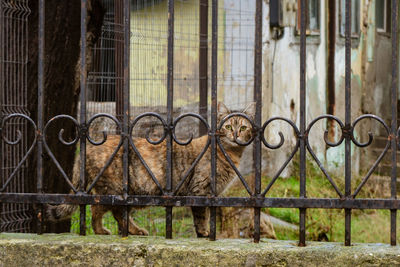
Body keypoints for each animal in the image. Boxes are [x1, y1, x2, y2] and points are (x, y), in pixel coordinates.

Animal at [45, 102, 255, 239]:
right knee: (110, 210)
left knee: (103, 210)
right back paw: (123, 230)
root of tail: (88, 147)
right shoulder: (200, 190)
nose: (235, 135)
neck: (230, 153)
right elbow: (202, 216)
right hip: (115, 189)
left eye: (243, 127)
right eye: (228, 126)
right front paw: (204, 233)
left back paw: (112, 230)